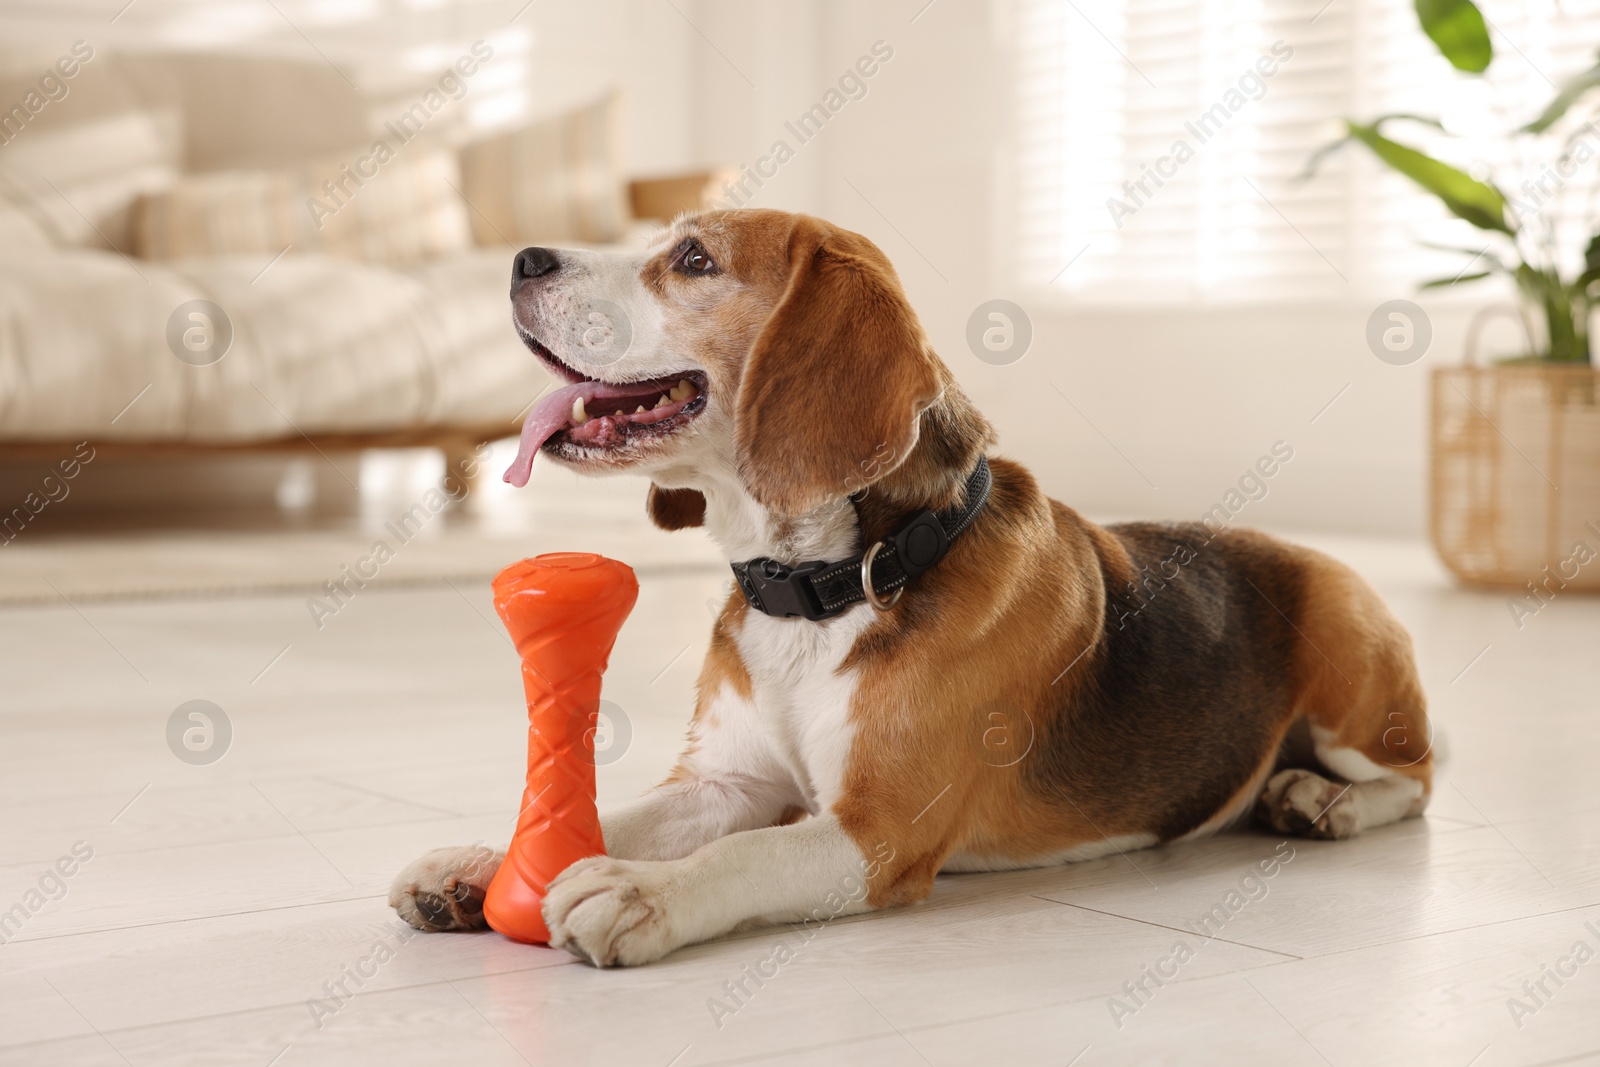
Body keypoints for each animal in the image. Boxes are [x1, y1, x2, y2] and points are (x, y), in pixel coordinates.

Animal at [390, 207, 1440, 966]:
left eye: (692, 259)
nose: (523, 259)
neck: (830, 582)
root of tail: (1308, 551)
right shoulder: (727, 780)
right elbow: (619, 814)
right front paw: (484, 864)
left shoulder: (877, 829)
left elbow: (745, 852)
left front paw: (641, 891)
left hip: (1353, 669)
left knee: (1417, 782)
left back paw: (1324, 803)